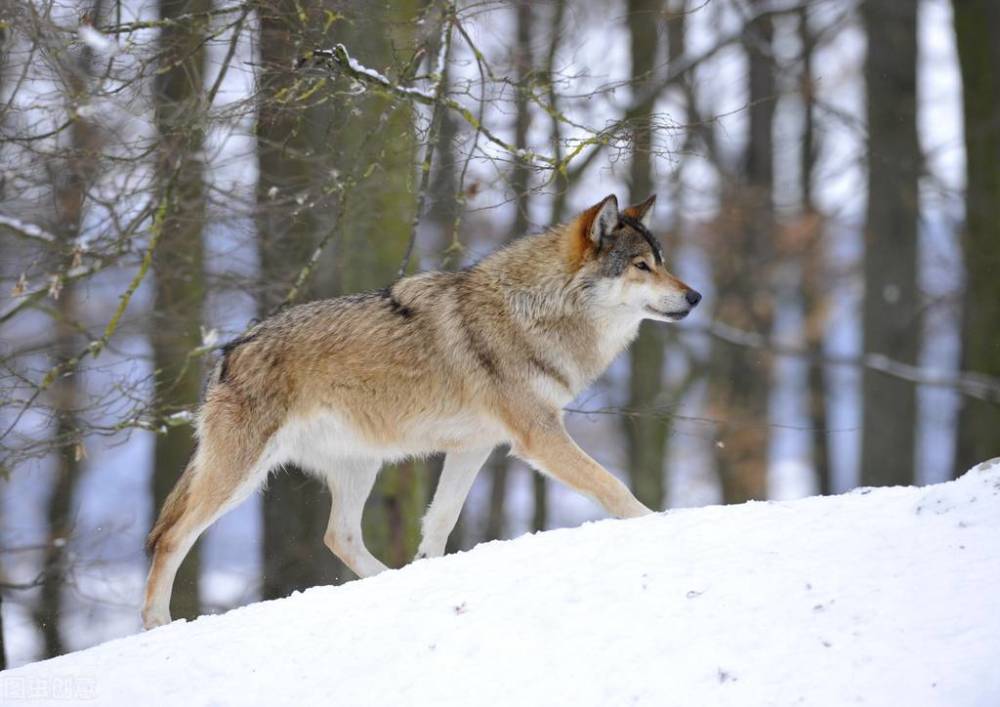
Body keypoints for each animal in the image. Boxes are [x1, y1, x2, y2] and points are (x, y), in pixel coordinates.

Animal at [143, 195, 704, 632]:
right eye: (642, 266)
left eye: (662, 260)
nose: (696, 295)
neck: (535, 310)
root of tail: (228, 352)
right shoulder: (539, 436)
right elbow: (615, 488)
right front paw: (658, 524)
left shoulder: (475, 447)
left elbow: (440, 521)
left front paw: (427, 572)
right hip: (241, 477)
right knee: (171, 535)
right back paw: (156, 623)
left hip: (359, 466)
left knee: (338, 535)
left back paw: (390, 580)